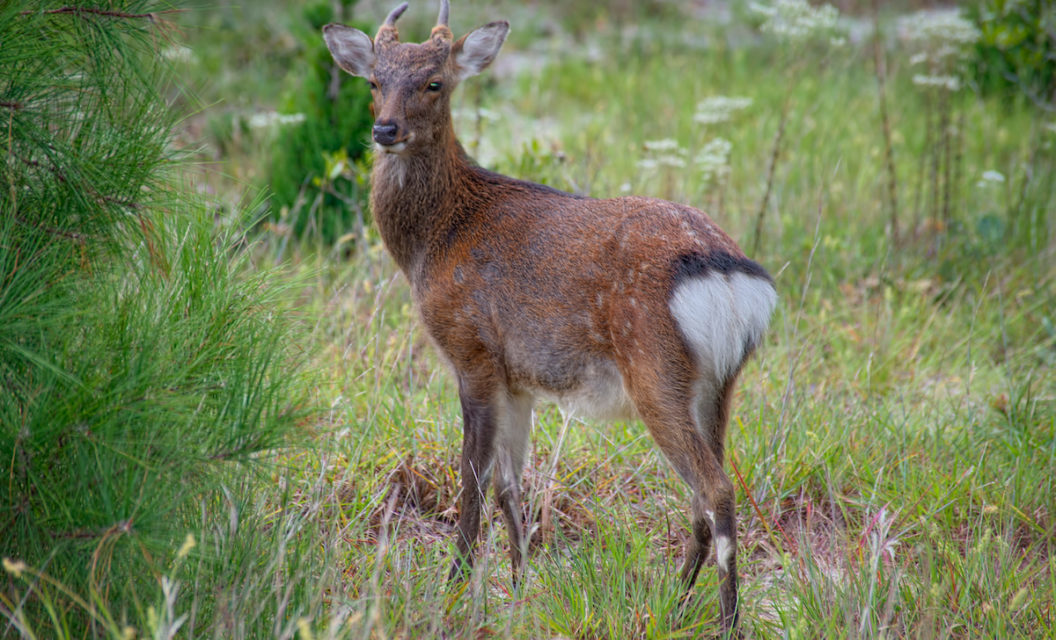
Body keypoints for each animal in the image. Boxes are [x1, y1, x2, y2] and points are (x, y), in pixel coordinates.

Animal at [321, 2, 777, 637]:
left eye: (434, 83)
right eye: (372, 82)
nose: (384, 131)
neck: (434, 241)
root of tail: (732, 277)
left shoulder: (472, 350)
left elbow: (472, 478)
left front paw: (455, 586)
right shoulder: (519, 379)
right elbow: (511, 484)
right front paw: (518, 587)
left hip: (655, 369)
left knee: (716, 489)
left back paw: (726, 618)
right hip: (719, 385)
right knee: (702, 498)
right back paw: (673, 601)